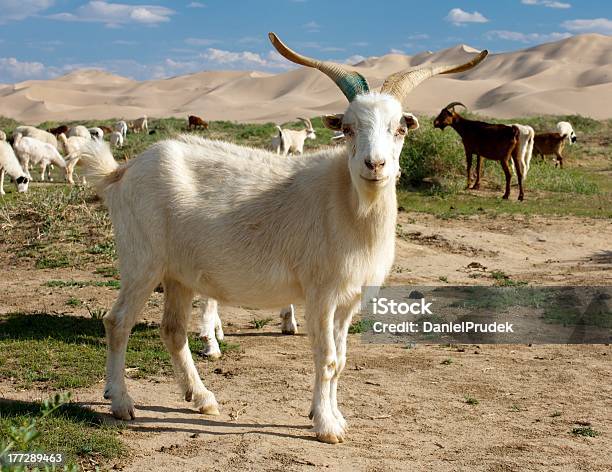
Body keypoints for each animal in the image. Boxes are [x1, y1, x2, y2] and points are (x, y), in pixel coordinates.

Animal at [77, 32, 488, 442]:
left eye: (399, 129)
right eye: (349, 128)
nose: (375, 165)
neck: (348, 204)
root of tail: (122, 172)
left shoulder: (349, 299)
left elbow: (341, 360)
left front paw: (334, 417)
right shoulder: (321, 293)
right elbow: (326, 359)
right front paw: (326, 426)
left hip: (179, 274)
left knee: (173, 330)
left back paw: (203, 398)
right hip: (142, 261)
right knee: (118, 322)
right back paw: (121, 402)